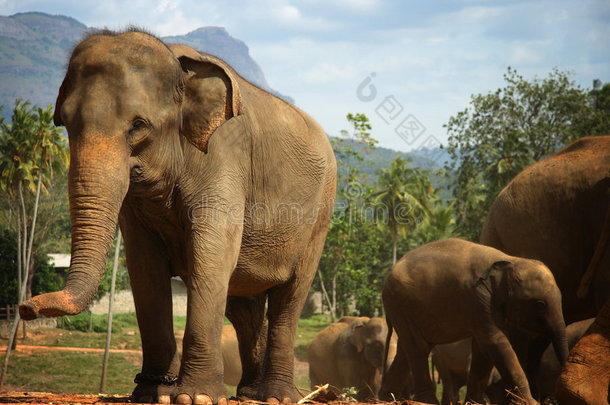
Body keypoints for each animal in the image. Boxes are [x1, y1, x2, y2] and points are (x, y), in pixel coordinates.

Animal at [16, 29, 334, 404]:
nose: (26, 307)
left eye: (138, 125)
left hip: (320, 214)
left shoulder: (224, 157)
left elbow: (212, 256)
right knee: (244, 306)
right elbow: (144, 266)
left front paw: (195, 397)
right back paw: (249, 394)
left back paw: (277, 396)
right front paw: (154, 393)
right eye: (63, 122)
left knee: (290, 296)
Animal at [378, 237, 568, 404]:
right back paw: (426, 402)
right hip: (399, 303)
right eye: (540, 304)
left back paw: (384, 399)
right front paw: (530, 403)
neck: (509, 260)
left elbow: (482, 347)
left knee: (405, 352)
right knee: (418, 348)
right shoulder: (476, 296)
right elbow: (494, 340)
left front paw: (475, 402)